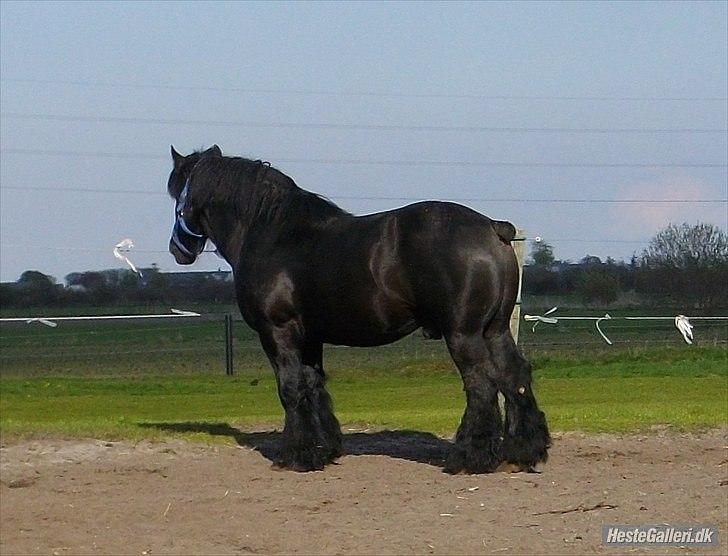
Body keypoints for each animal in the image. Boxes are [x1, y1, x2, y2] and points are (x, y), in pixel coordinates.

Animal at [166, 144, 552, 474]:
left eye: (177, 193)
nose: (176, 249)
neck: (273, 235)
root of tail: (493, 228)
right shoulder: (310, 338)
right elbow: (313, 386)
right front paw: (322, 449)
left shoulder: (277, 332)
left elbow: (289, 388)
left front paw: (295, 456)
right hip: (495, 330)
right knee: (515, 377)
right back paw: (521, 452)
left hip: (464, 334)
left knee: (481, 385)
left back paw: (468, 457)